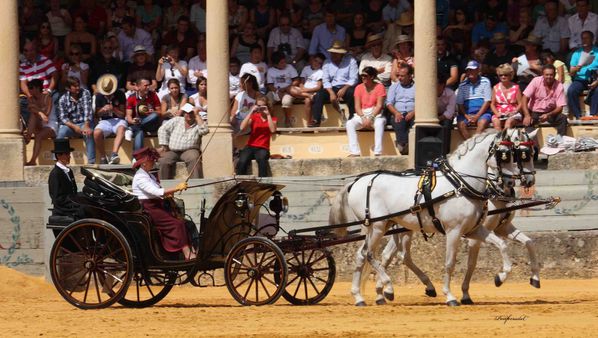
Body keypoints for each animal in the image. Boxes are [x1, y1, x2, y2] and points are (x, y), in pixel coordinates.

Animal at [332, 129, 520, 306]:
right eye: (504, 155)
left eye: (515, 153)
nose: (511, 183)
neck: (460, 185)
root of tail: (356, 182)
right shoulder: (454, 231)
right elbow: (449, 263)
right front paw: (450, 296)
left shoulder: (474, 229)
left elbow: (502, 245)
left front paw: (500, 277)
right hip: (378, 226)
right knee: (370, 254)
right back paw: (389, 287)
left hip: (380, 226)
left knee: (363, 255)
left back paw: (359, 297)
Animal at [380, 128, 544, 304]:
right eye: (519, 154)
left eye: (531, 153)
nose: (529, 180)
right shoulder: (472, 233)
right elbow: (471, 263)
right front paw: (465, 293)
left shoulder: (502, 228)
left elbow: (529, 242)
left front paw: (534, 278)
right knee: (392, 255)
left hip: (405, 228)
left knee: (395, 255)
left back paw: (390, 290)